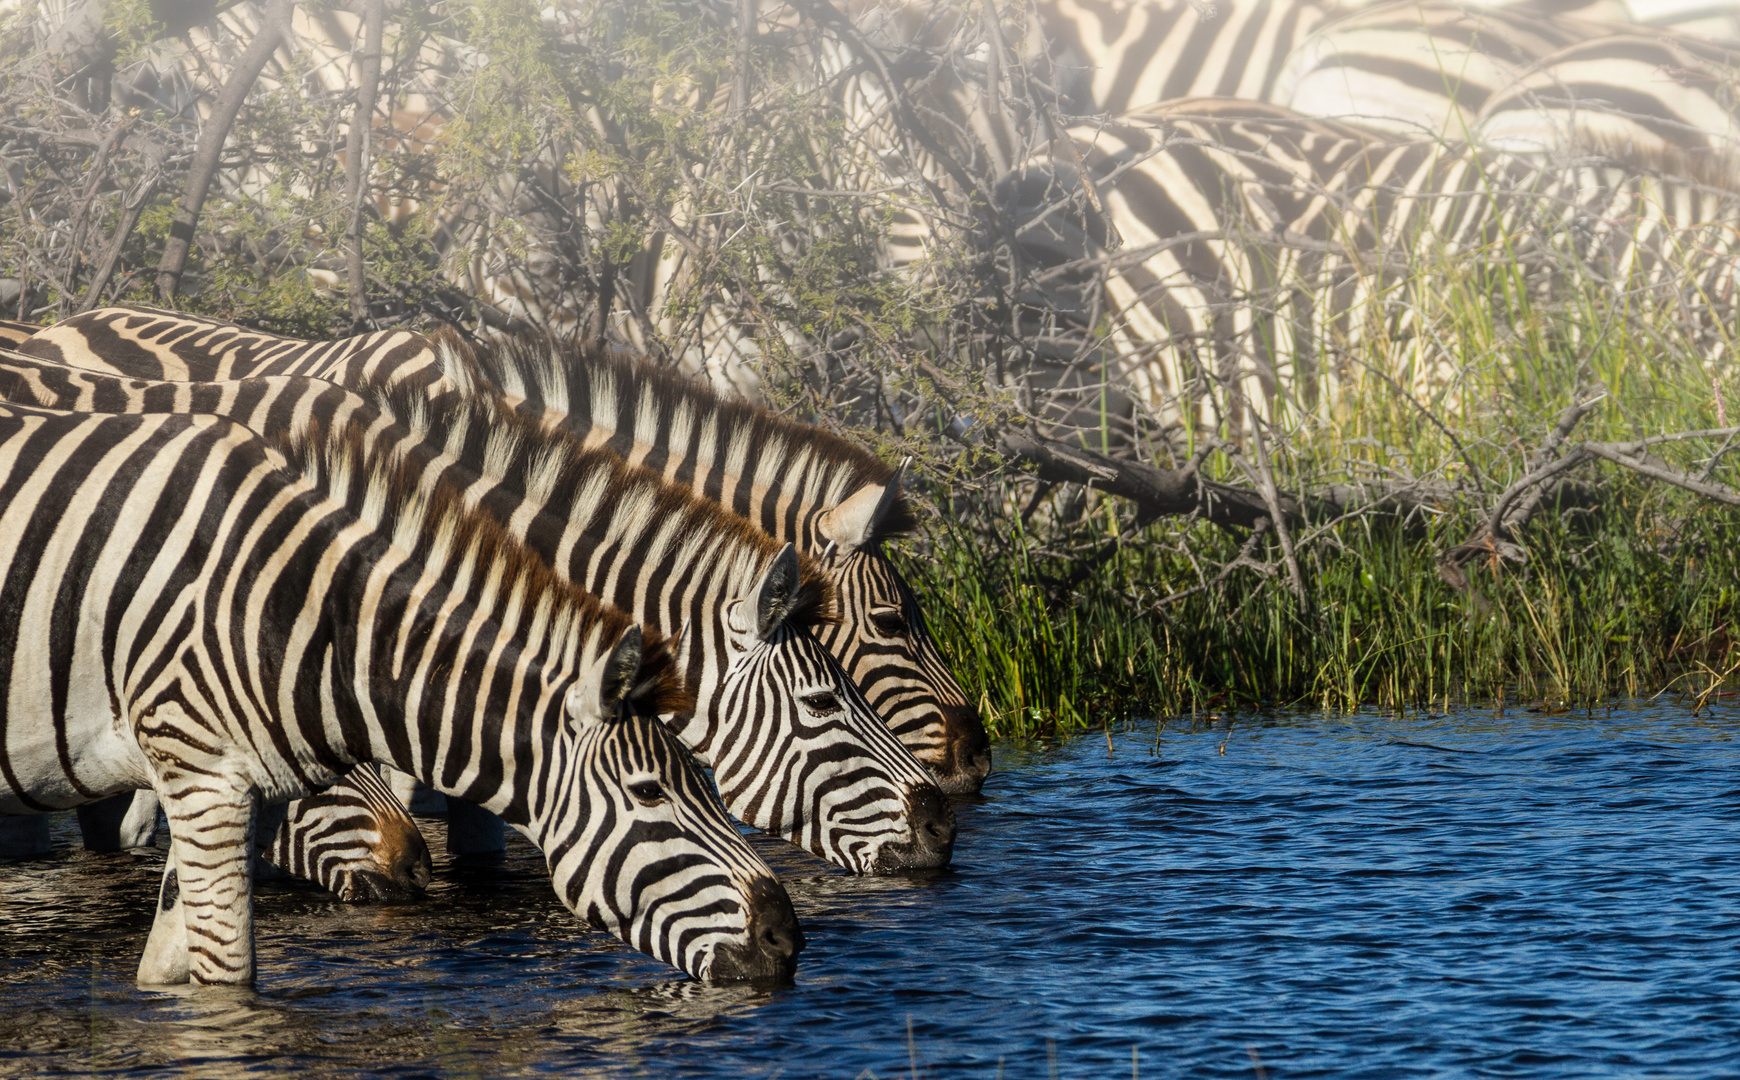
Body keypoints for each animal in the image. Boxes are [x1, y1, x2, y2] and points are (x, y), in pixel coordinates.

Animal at [0, 398, 796, 987]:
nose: (787, 939)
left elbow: (171, 970)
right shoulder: (202, 774)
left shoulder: (210, 785)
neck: (281, 614)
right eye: (648, 793)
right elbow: (228, 979)